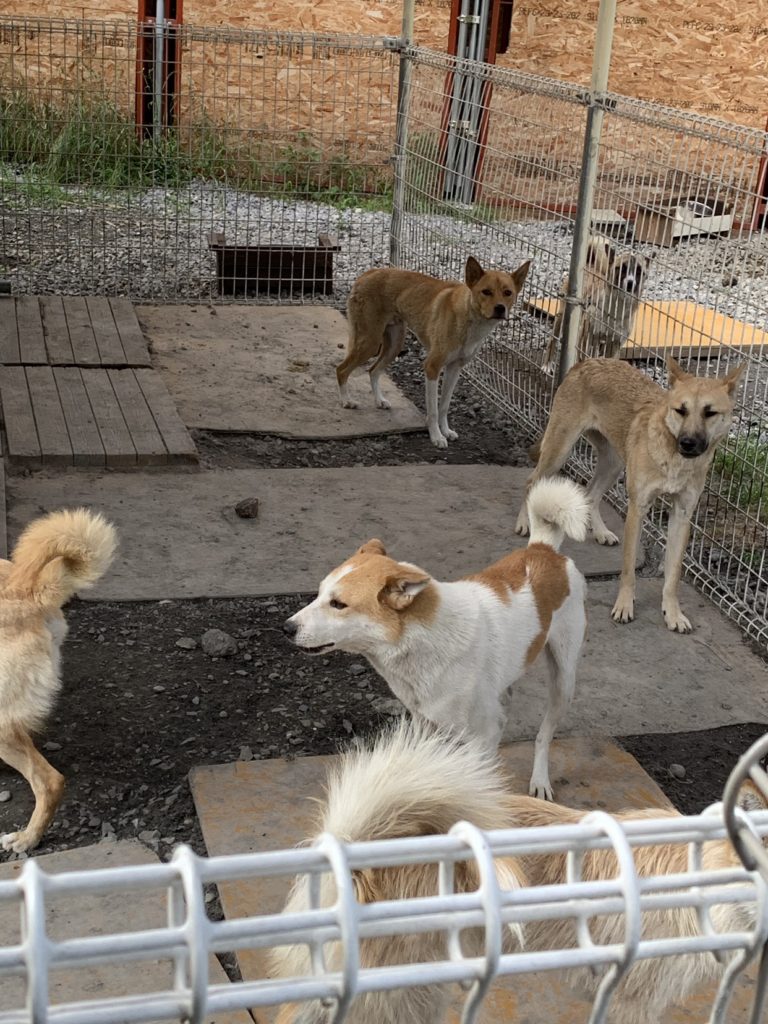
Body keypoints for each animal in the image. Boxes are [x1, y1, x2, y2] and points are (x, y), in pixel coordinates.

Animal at [284, 476, 589, 800]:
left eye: (338, 604)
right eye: (319, 594)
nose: (286, 627)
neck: (423, 642)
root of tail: (545, 549)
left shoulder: (482, 735)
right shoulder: (423, 722)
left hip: (564, 682)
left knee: (543, 735)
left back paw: (540, 780)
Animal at [337, 256, 531, 448]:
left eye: (508, 292)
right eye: (486, 291)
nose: (500, 308)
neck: (469, 318)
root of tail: (368, 273)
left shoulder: (454, 368)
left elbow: (444, 406)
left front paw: (446, 431)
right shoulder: (432, 367)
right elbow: (434, 410)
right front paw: (436, 437)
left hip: (394, 344)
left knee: (373, 370)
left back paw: (379, 400)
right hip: (369, 342)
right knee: (342, 370)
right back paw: (347, 401)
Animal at [515, 357, 744, 633]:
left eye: (710, 413)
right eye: (681, 410)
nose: (687, 443)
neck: (673, 456)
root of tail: (586, 361)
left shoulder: (682, 515)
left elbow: (673, 575)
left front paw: (673, 613)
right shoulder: (637, 509)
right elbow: (628, 569)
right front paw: (624, 605)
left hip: (613, 463)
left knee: (591, 493)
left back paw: (601, 532)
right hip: (559, 451)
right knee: (531, 481)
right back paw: (524, 522)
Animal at [543, 235, 648, 375]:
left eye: (639, 272)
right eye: (621, 268)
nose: (630, 283)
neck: (616, 311)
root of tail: (590, 264)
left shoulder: (614, 345)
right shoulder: (586, 337)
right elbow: (583, 359)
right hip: (563, 316)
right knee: (553, 339)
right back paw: (547, 364)